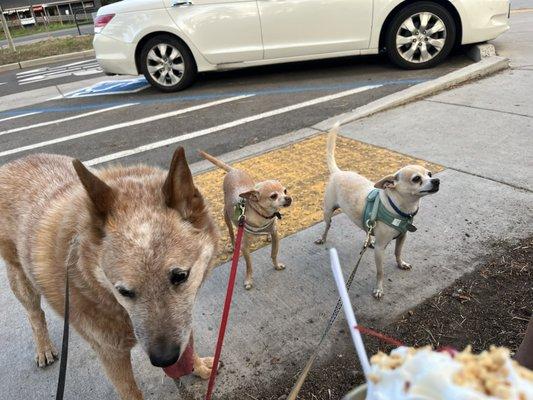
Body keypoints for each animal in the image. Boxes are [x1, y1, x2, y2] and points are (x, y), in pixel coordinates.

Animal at [0, 150, 218, 400]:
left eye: (180, 276)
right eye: (123, 291)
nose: (164, 359)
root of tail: (17, 161)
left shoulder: (183, 317)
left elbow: (188, 344)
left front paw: (199, 367)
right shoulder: (110, 353)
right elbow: (131, 392)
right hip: (20, 276)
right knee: (35, 314)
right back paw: (44, 347)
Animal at [198, 151, 294, 290]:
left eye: (285, 191)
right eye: (273, 196)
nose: (288, 198)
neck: (262, 216)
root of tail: (233, 170)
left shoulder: (275, 234)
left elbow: (274, 253)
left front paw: (276, 265)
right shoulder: (244, 247)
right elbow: (249, 265)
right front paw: (248, 280)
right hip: (226, 216)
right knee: (231, 233)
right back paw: (233, 245)